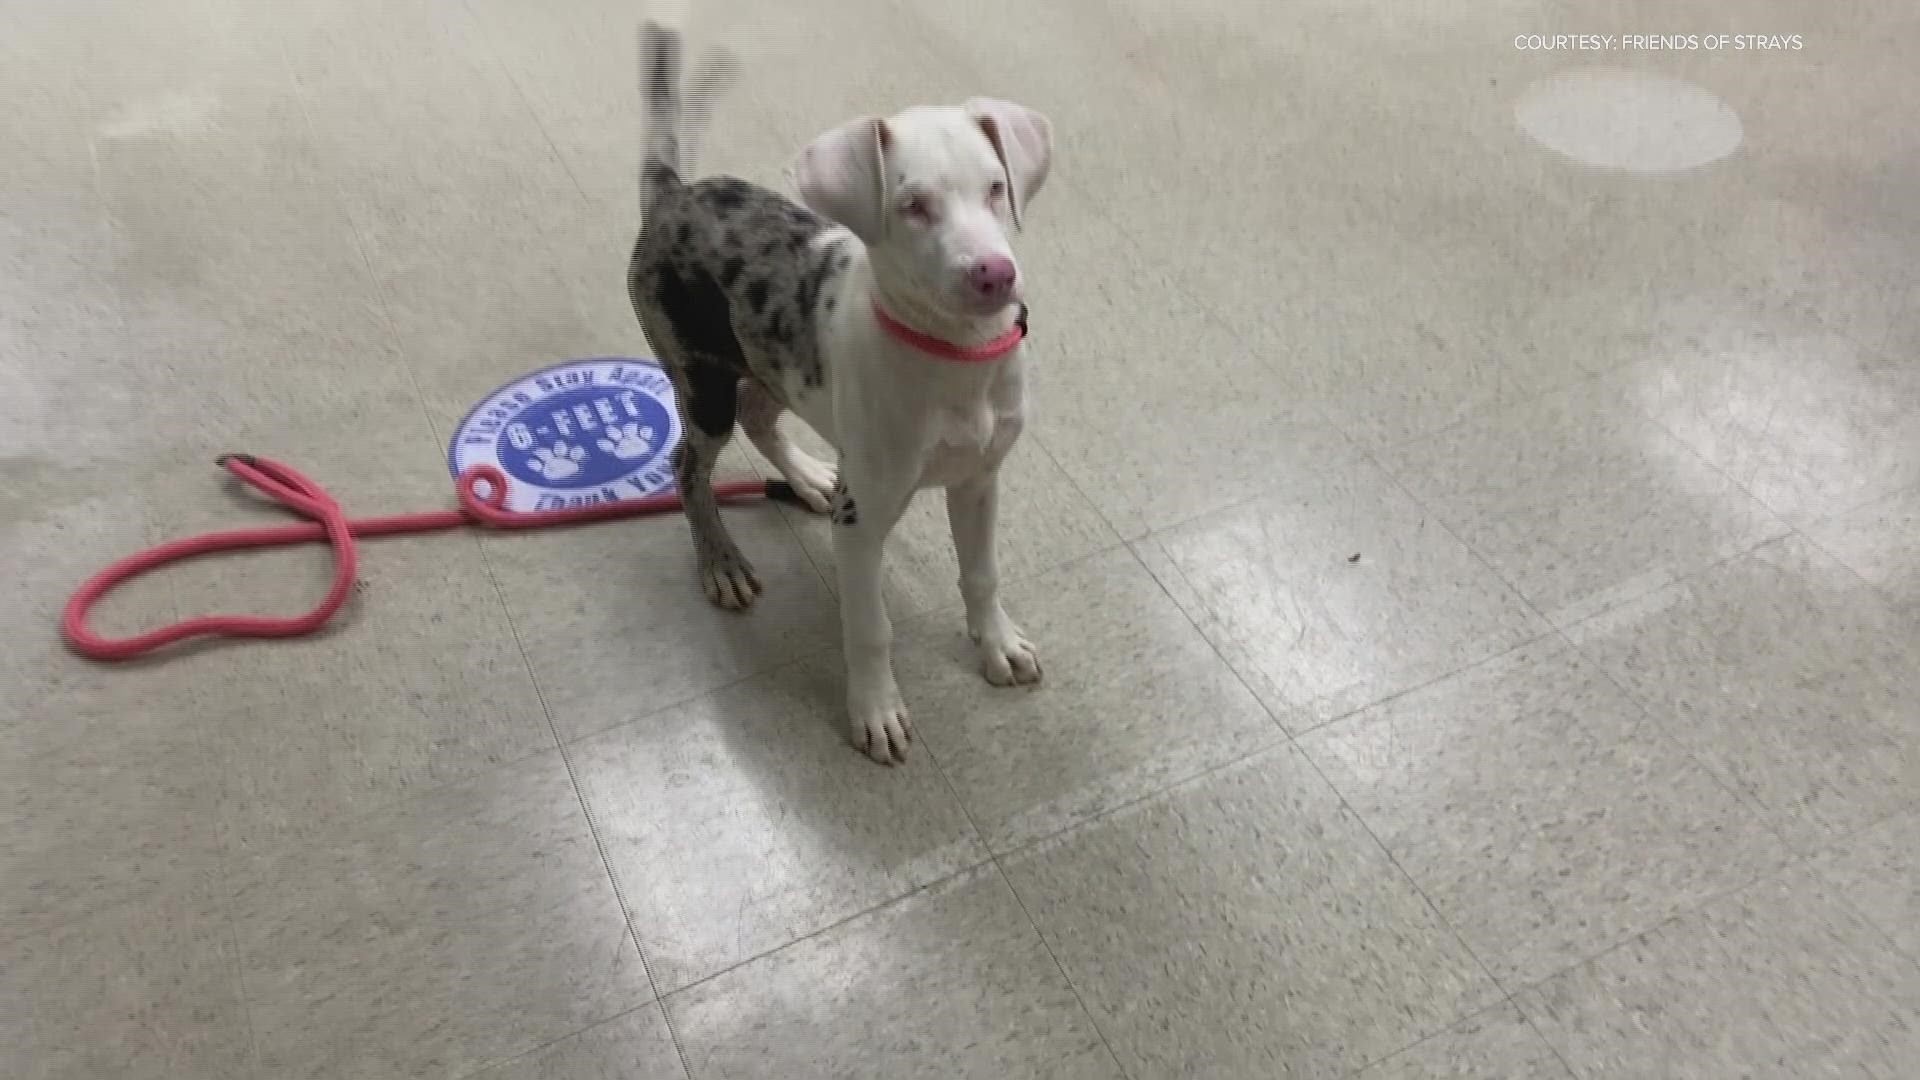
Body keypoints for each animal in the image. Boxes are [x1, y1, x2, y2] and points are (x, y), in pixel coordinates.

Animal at [625, 25, 1052, 764]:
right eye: (912, 207)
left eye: (996, 189)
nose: (996, 274)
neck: (955, 357)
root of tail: (675, 193)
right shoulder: (859, 526)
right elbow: (870, 627)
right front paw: (875, 710)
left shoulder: (979, 480)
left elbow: (982, 573)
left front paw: (996, 644)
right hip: (701, 380)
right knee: (688, 468)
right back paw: (720, 561)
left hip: (772, 359)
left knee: (762, 415)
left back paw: (806, 477)